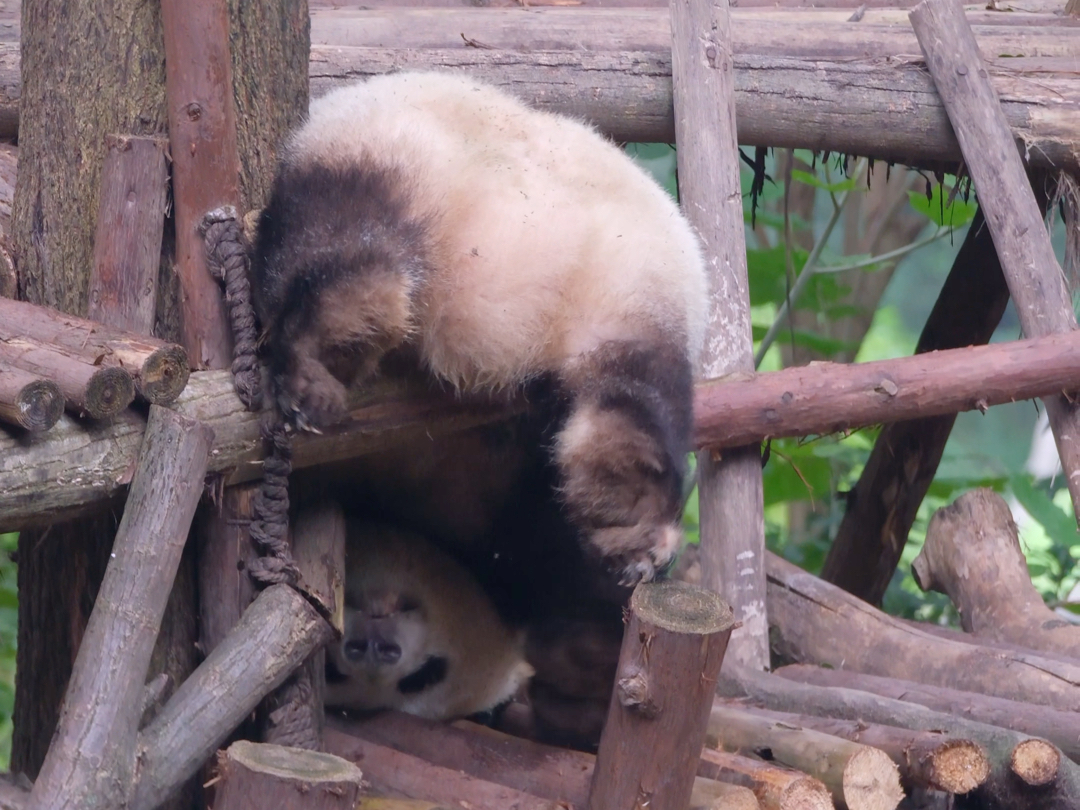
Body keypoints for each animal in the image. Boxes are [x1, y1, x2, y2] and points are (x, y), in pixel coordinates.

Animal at [251, 72, 708, 747]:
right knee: (639, 402)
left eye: (424, 677)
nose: (372, 647)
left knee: (340, 248)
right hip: (628, 287)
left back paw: (318, 368)